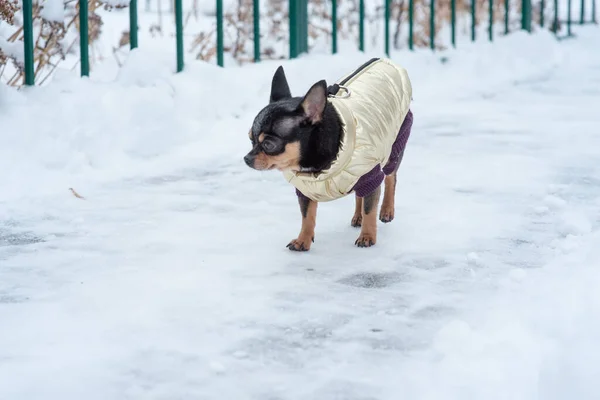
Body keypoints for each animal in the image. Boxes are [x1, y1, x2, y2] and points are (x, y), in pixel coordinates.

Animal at [244, 57, 412, 252]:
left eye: (269, 145)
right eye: (250, 139)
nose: (246, 158)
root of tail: (385, 61)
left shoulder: (370, 174)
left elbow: (370, 209)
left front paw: (367, 236)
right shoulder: (306, 191)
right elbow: (307, 216)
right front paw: (303, 240)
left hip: (394, 147)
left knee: (391, 177)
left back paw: (386, 210)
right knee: (360, 193)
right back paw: (358, 216)